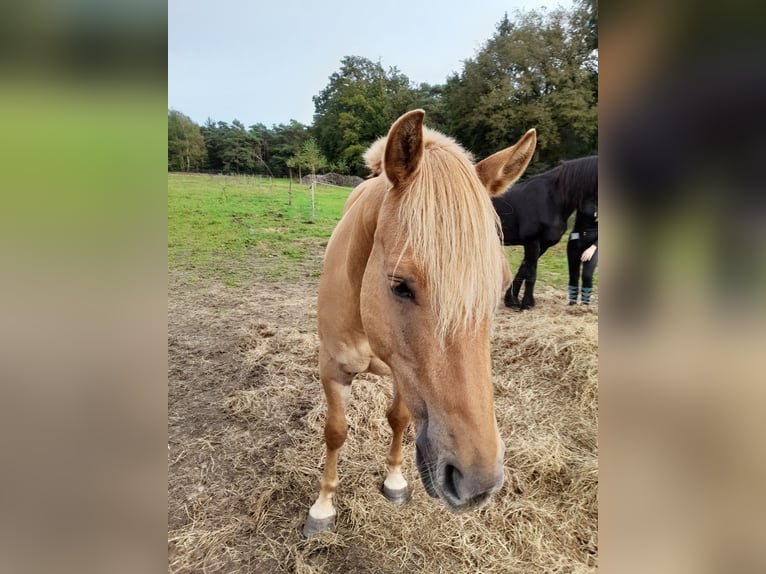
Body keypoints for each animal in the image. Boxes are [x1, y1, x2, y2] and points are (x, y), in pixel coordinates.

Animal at [304, 110, 536, 536]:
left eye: (500, 286)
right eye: (400, 285)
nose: (478, 483)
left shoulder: (403, 371)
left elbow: (398, 419)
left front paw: (395, 480)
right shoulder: (332, 369)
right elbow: (335, 432)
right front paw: (323, 506)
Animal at [492, 155, 600, 310]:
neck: (552, 199)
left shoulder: (542, 245)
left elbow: (523, 269)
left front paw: (512, 300)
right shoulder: (532, 242)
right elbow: (531, 272)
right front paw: (526, 304)